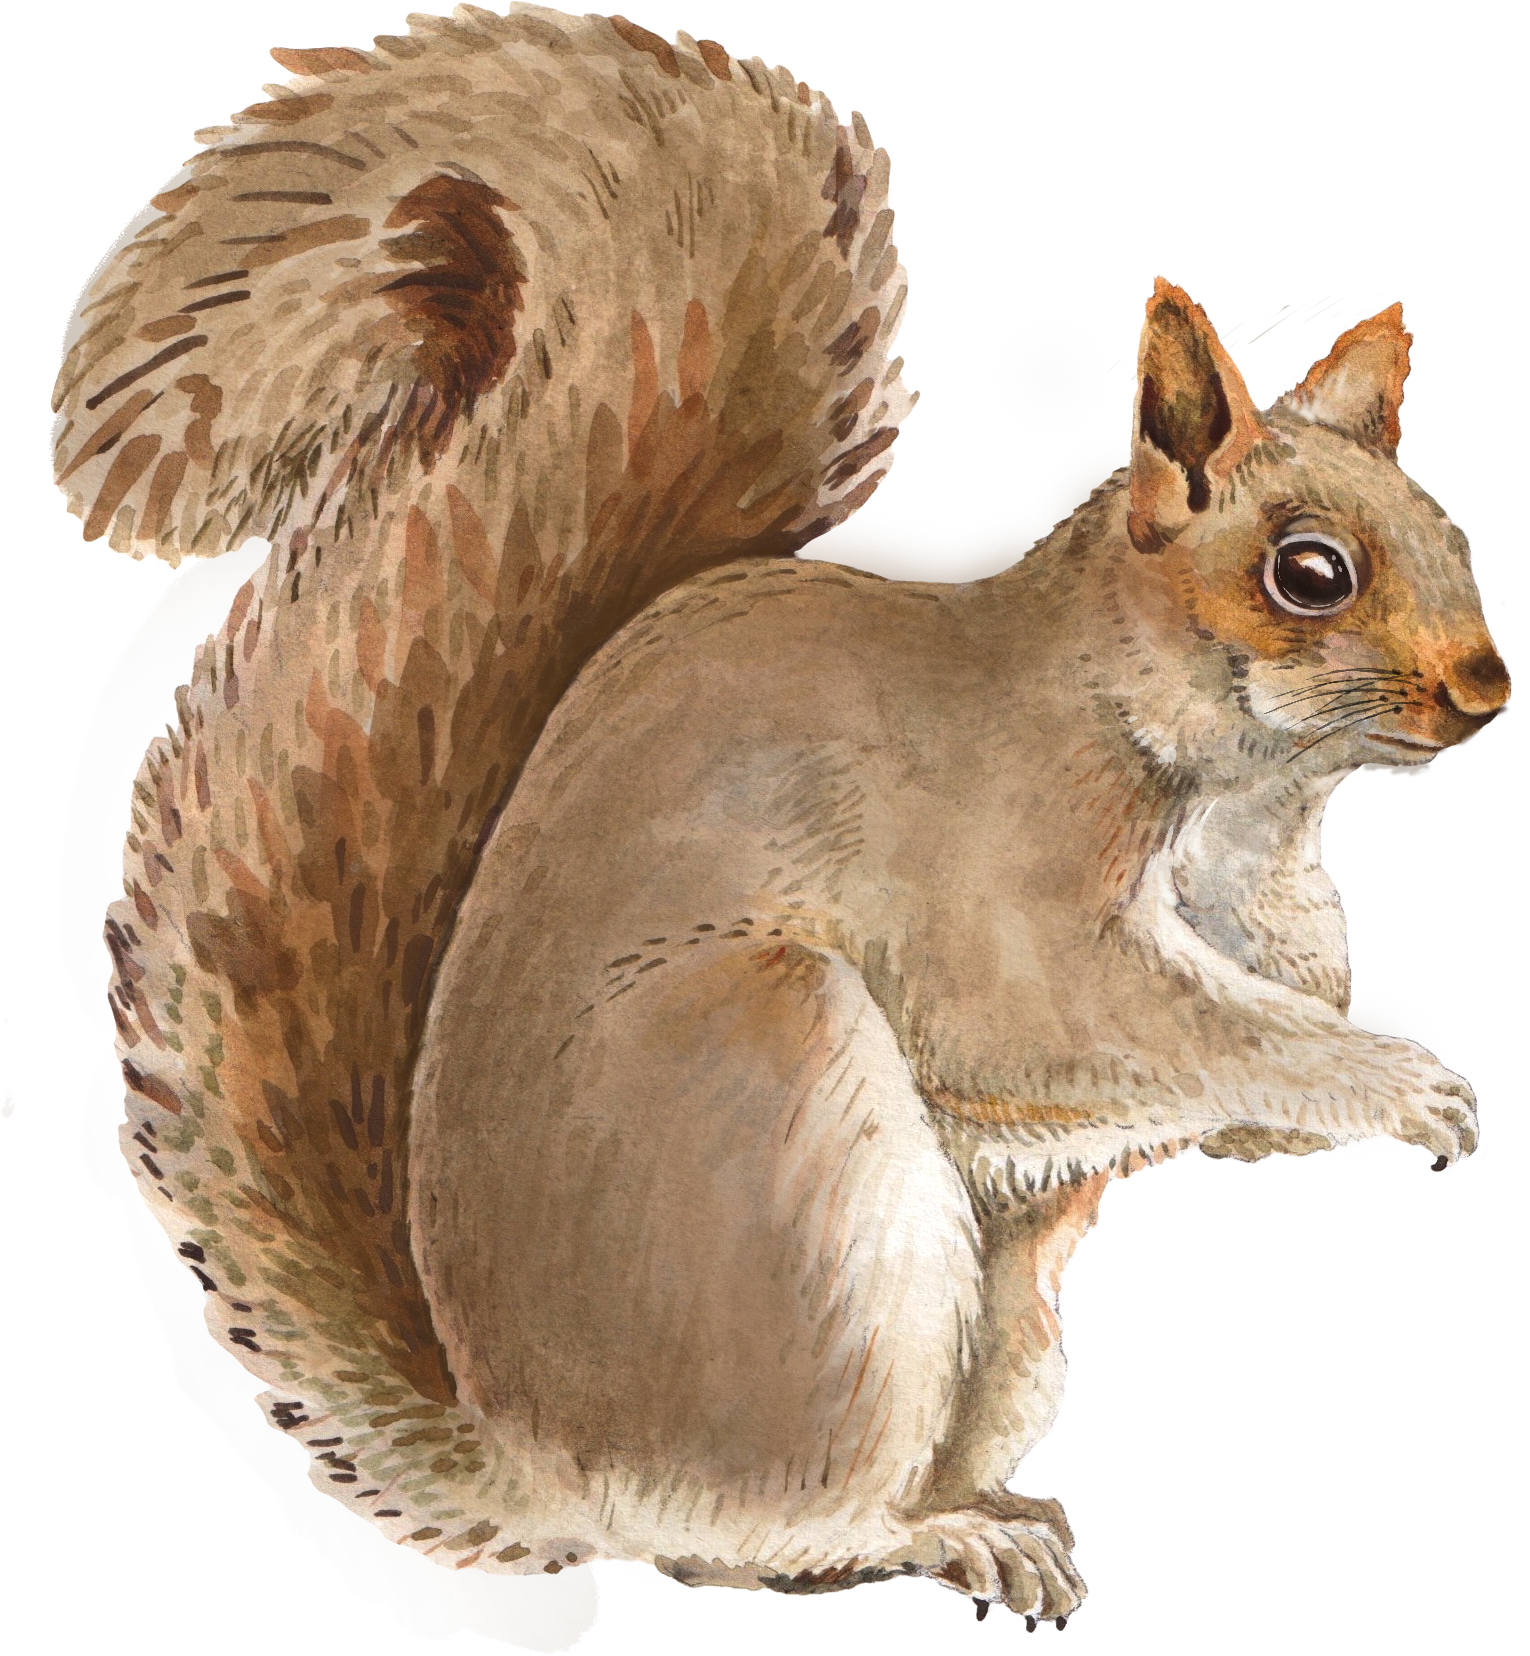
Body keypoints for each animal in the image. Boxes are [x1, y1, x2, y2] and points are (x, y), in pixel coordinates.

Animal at [51, 0, 1509, 1627]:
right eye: (1307, 573)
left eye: (1454, 537)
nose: (1487, 687)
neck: (1235, 797)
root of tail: (539, 1466)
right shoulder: (999, 884)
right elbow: (1068, 1015)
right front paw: (1403, 1085)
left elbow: (1247, 1057)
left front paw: (1375, 1065)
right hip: (772, 1110)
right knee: (768, 1536)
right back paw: (931, 1536)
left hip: (1008, 1303)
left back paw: (986, 1513)